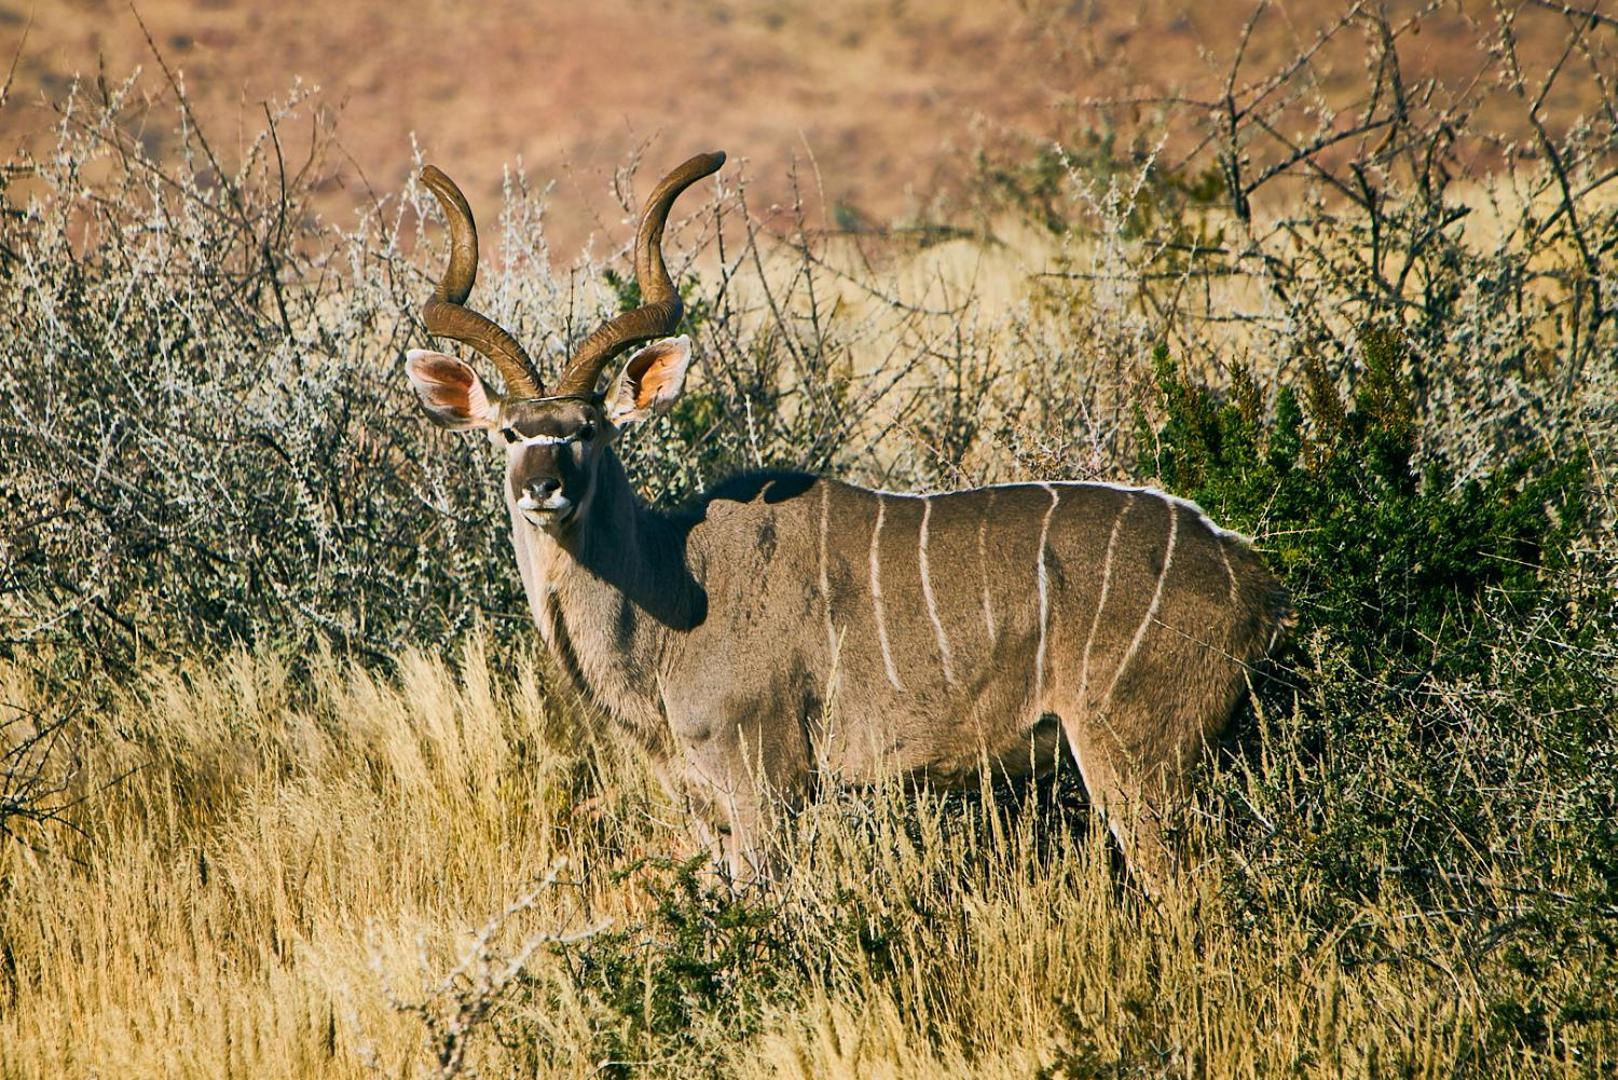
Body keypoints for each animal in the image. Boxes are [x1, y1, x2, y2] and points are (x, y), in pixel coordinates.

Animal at [401, 153, 1287, 893]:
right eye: (509, 432)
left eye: (589, 429)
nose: (543, 488)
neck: (671, 588)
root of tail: (1250, 574)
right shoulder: (707, 806)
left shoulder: (765, 785)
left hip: (1134, 757)